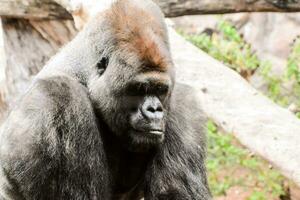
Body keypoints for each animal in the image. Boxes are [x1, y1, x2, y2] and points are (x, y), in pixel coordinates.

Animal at [0, 0, 211, 199]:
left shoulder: (182, 104)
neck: (85, 75)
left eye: (160, 90)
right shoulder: (61, 96)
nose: (154, 109)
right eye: (138, 89)